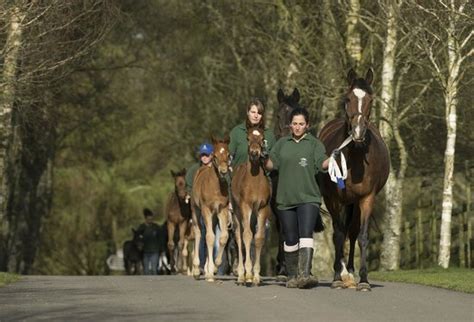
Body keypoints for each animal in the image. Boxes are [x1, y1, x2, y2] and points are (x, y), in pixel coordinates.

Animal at [191, 136, 231, 282]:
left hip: (213, 216)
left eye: (228, 154)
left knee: (212, 232)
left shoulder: (222, 209)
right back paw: (196, 270)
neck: (215, 186)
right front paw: (208, 274)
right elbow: (208, 237)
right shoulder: (206, 210)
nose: (223, 171)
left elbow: (223, 236)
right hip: (196, 210)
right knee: (198, 232)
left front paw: (214, 267)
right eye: (215, 156)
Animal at [232, 125, 272, 284]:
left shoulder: (262, 208)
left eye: (262, 138)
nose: (255, 153)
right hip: (237, 212)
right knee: (239, 236)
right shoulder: (245, 207)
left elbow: (259, 238)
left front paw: (256, 276)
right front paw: (248, 274)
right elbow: (247, 235)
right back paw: (240, 275)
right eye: (248, 138)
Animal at [318, 68, 388, 292]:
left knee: (353, 231)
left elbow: (362, 236)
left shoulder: (367, 198)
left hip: (354, 203)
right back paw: (342, 272)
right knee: (340, 232)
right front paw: (337, 278)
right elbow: (338, 235)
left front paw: (364, 280)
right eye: (347, 99)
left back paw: (350, 271)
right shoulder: (334, 199)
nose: (358, 132)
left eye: (370, 100)